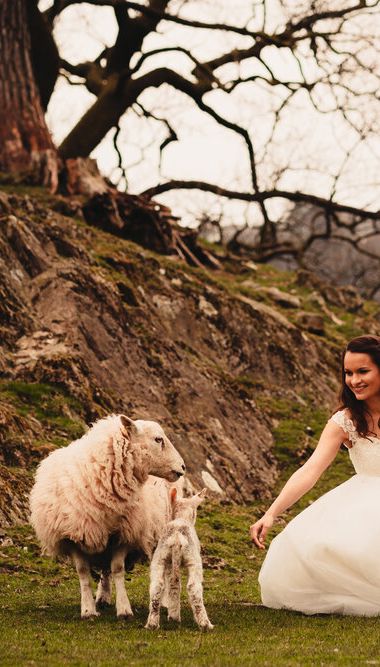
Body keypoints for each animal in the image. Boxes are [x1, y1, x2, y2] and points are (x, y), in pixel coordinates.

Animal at [29, 414, 185, 620]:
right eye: (158, 439)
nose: (183, 466)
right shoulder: (74, 535)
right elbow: (83, 572)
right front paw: (88, 609)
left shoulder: (125, 534)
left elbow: (117, 569)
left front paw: (124, 609)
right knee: (104, 568)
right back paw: (102, 597)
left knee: (164, 566)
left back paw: (166, 601)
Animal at [145, 486, 212, 632]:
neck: (181, 517)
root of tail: (176, 536)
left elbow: (173, 585)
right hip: (193, 560)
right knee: (193, 587)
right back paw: (205, 624)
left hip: (160, 558)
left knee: (158, 586)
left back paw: (153, 623)